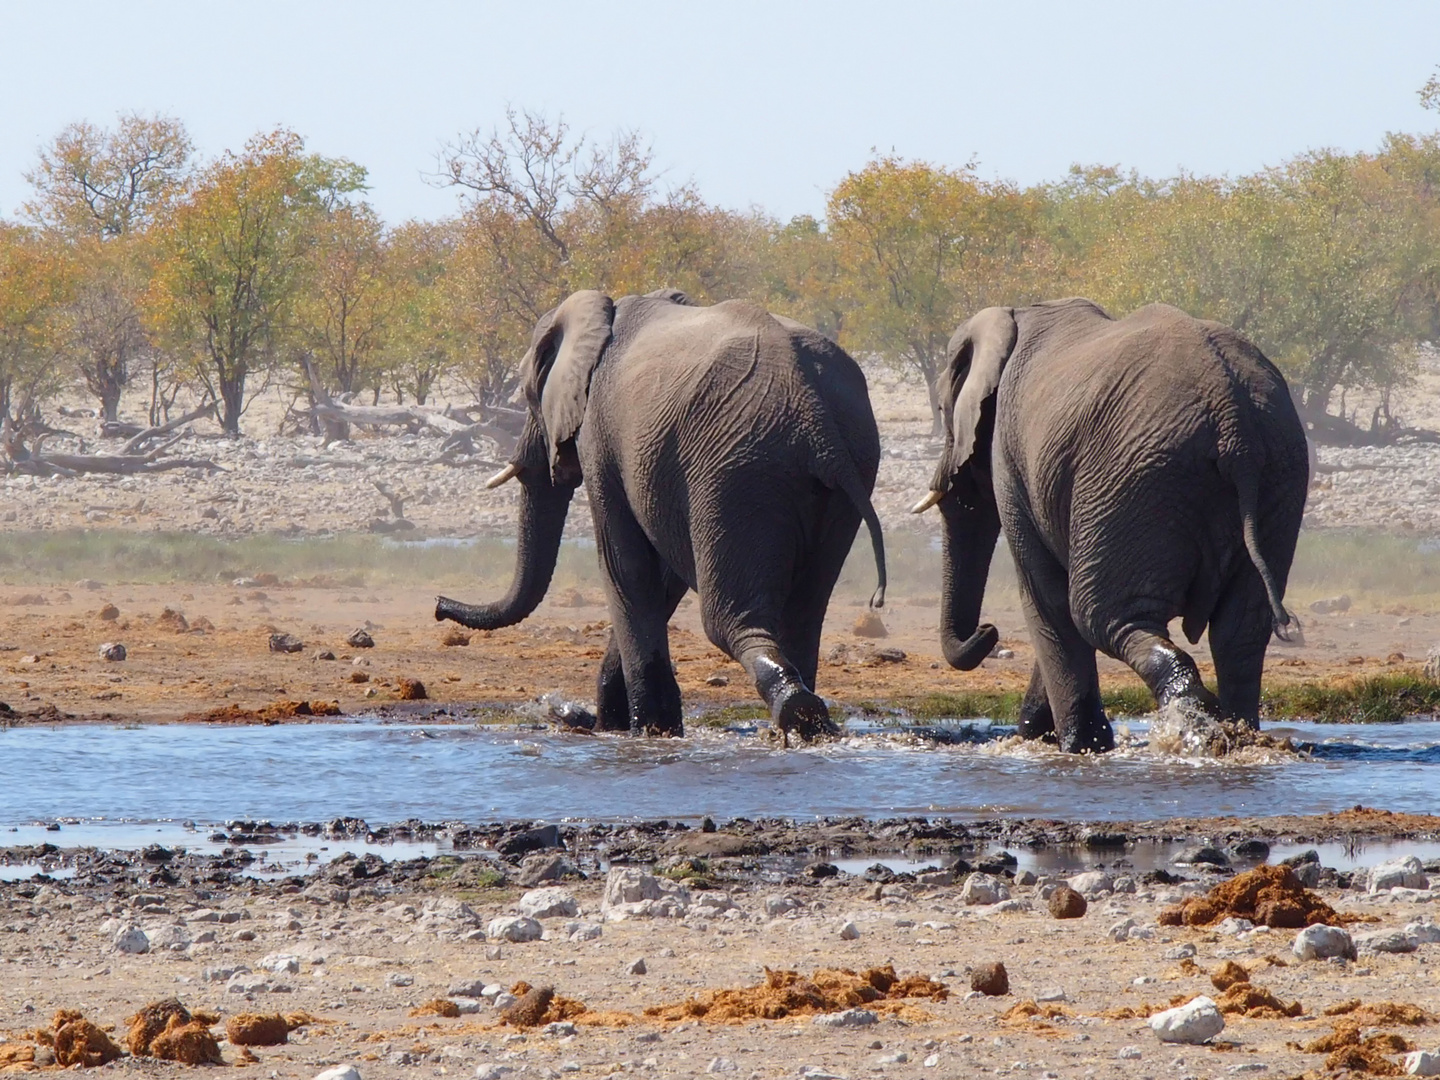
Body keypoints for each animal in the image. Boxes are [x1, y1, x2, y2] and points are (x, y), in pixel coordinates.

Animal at [434, 288, 887, 743]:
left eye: (529, 395)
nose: (438, 605)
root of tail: (816, 418)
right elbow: (663, 577)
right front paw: (627, 726)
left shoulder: (600, 436)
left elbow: (626, 567)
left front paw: (645, 729)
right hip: (844, 467)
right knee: (804, 612)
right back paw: (808, 724)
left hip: (738, 470)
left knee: (726, 620)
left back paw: (796, 711)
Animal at [915, 296, 1313, 754]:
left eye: (942, 410)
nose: (988, 630)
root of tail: (1236, 426)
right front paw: (1041, 737)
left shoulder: (1012, 460)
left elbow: (1048, 599)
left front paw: (1077, 747)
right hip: (1277, 477)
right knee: (1240, 634)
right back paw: (1235, 734)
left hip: (1139, 479)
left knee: (1103, 616)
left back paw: (1197, 726)